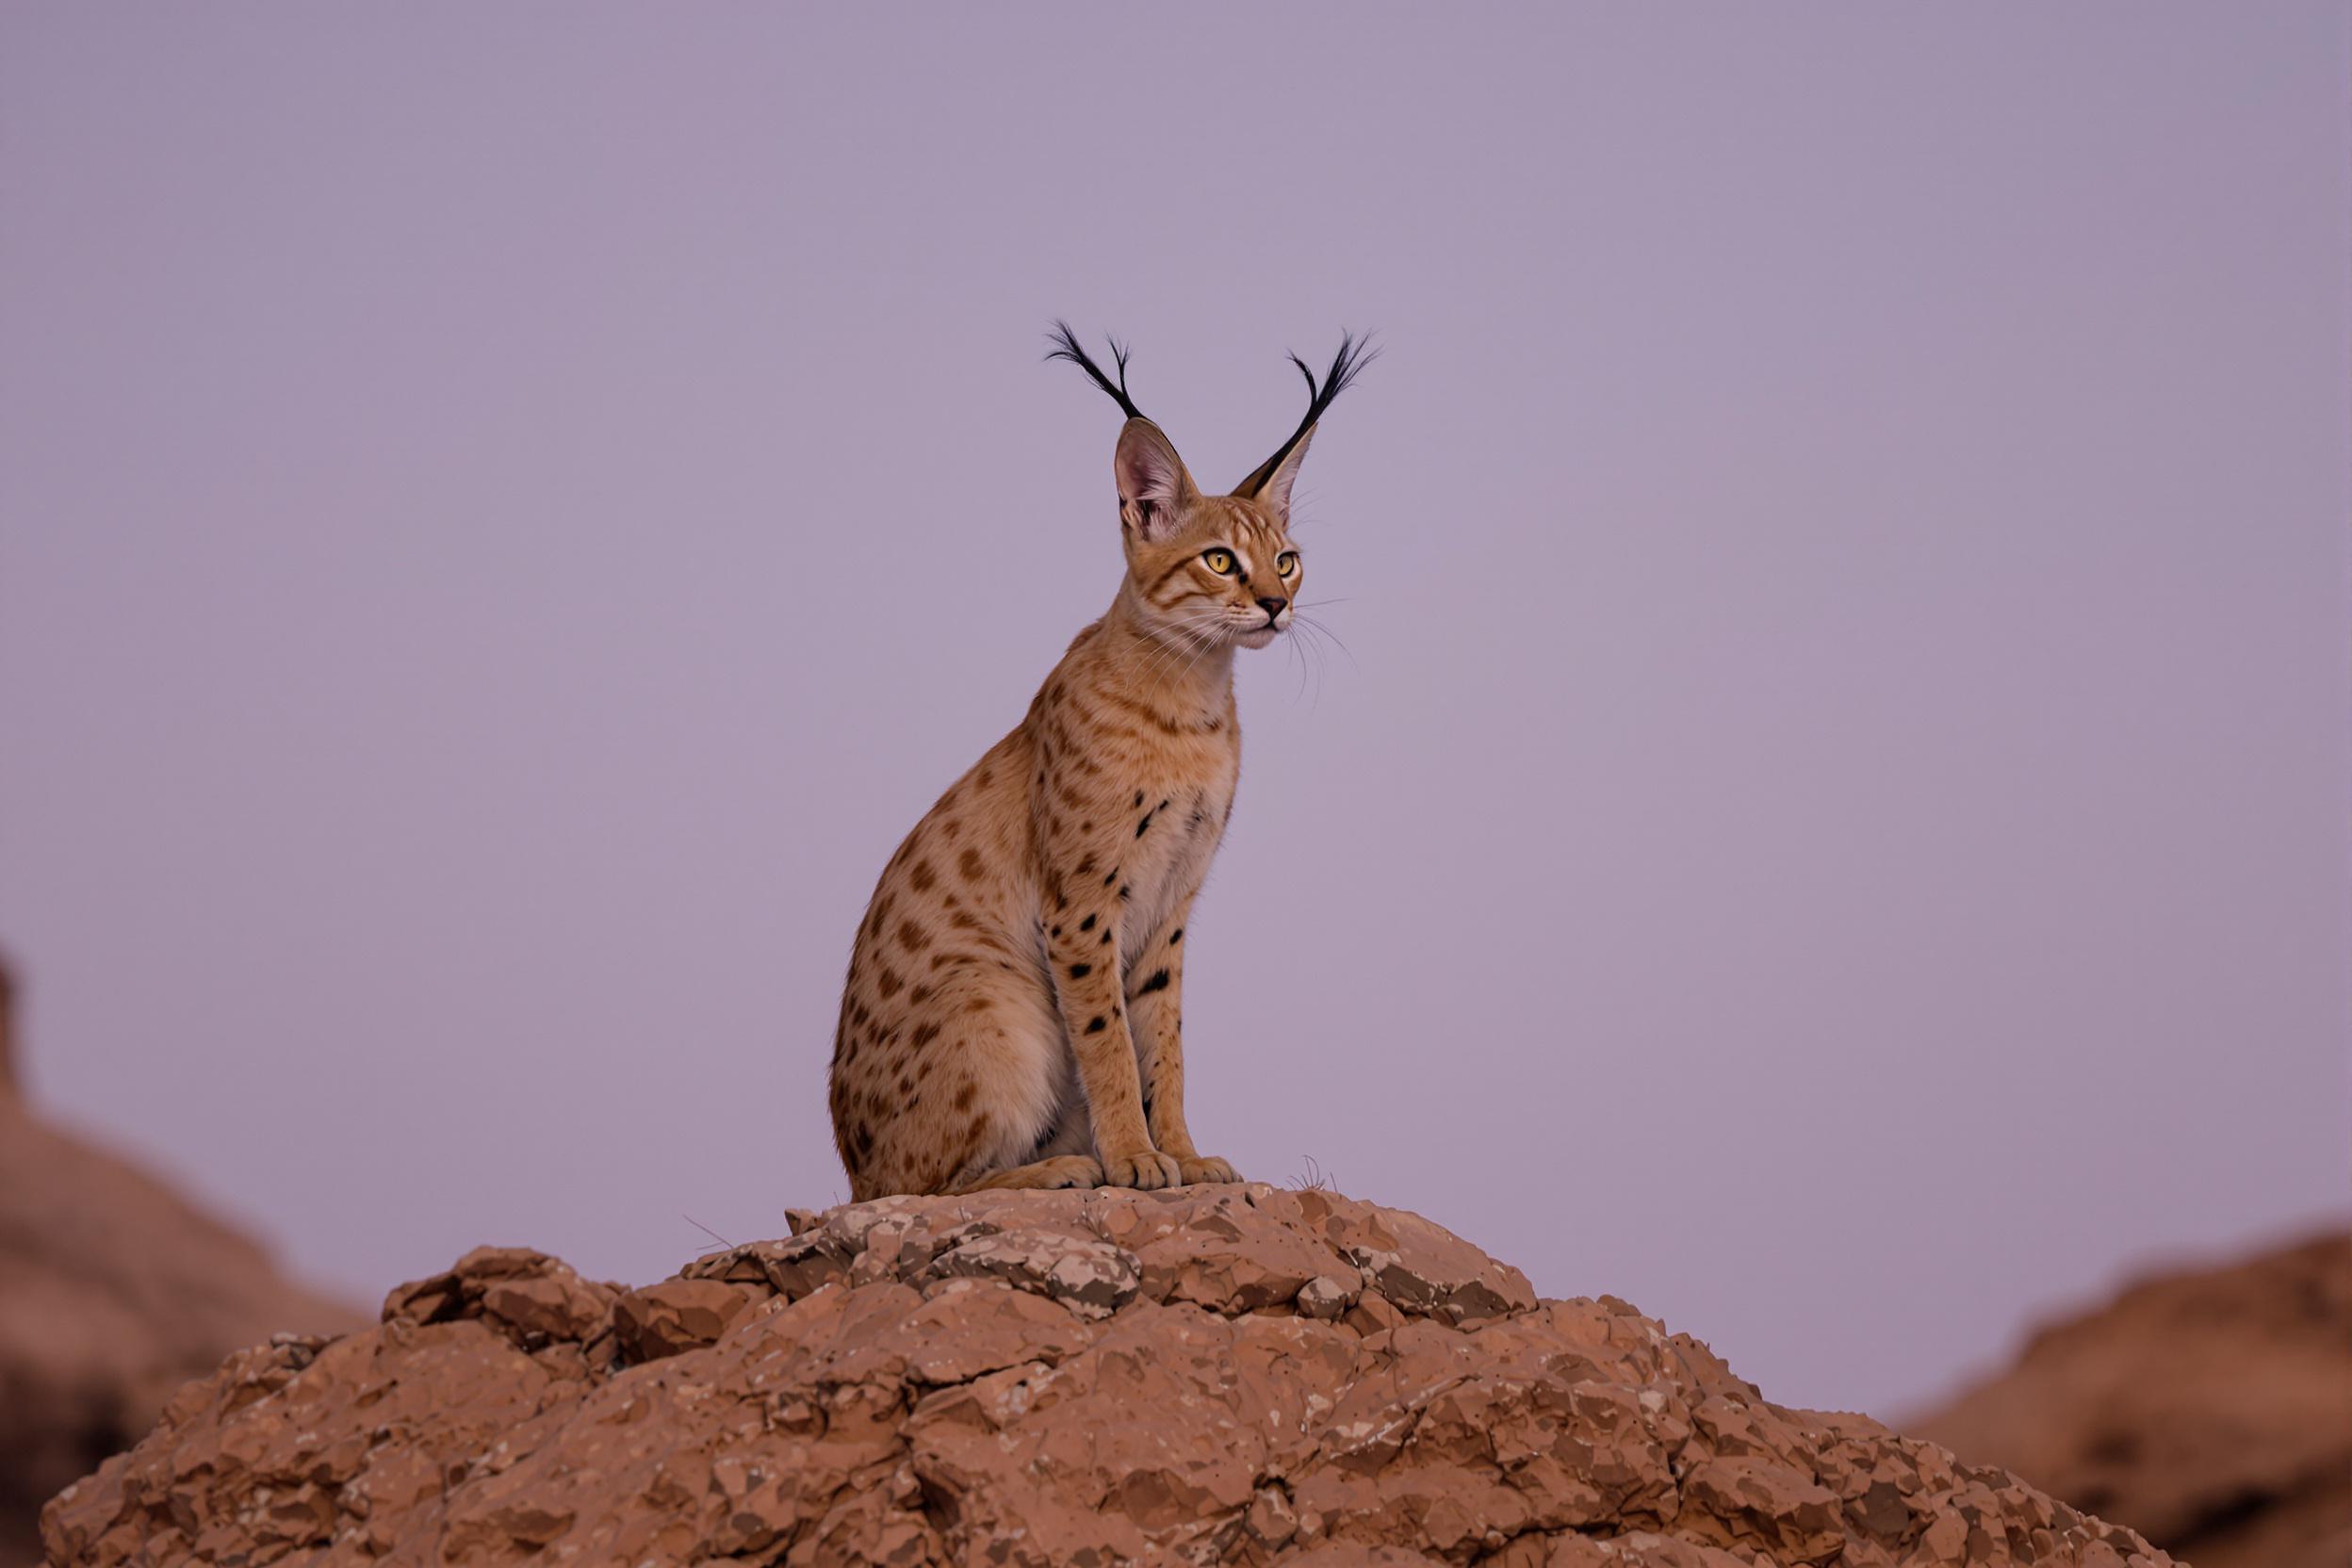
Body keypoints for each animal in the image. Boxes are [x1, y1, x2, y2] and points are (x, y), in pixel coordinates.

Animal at [832, 321, 1373, 1203]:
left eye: (1287, 559)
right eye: (1219, 561)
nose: (1275, 604)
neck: (1193, 698)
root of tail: (848, 1167)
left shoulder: (1171, 898)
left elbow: (1165, 1038)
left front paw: (1182, 1153)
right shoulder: (1083, 901)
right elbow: (1108, 1037)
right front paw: (1132, 1158)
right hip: (999, 996)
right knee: (918, 1187)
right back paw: (1062, 1169)